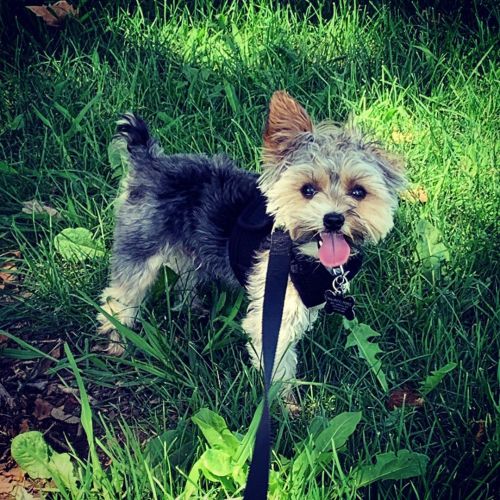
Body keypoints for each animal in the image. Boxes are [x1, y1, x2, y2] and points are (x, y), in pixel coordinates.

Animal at [95, 91, 404, 390]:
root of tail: (149, 162)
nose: (333, 219)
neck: (302, 254)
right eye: (307, 189)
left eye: (359, 192)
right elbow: (278, 361)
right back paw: (117, 341)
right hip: (139, 247)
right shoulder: (275, 307)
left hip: (191, 248)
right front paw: (283, 400)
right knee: (119, 299)